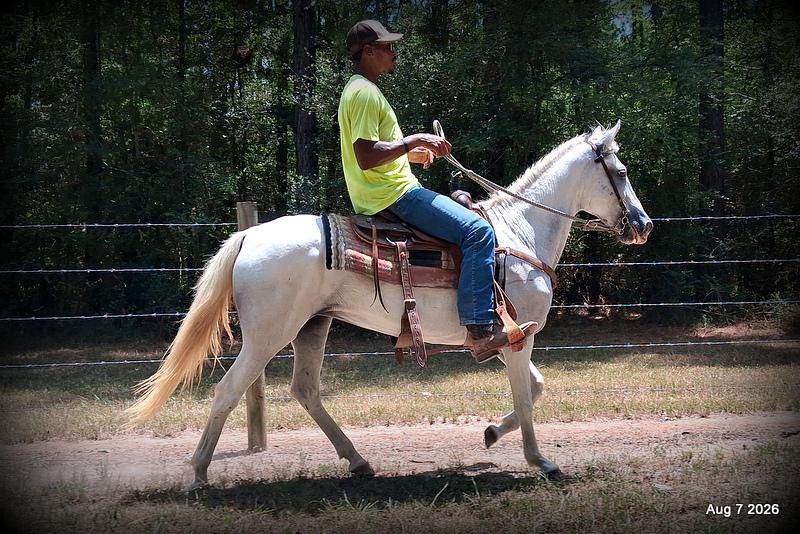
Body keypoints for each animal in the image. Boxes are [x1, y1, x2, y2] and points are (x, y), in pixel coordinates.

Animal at [126, 120, 652, 489]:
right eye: (621, 173)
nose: (643, 225)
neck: (519, 232)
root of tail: (249, 236)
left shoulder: (508, 338)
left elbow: (536, 389)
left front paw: (489, 434)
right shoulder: (518, 340)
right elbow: (526, 398)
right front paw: (541, 461)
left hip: (312, 327)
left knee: (305, 390)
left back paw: (359, 461)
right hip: (267, 336)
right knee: (227, 391)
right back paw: (199, 473)